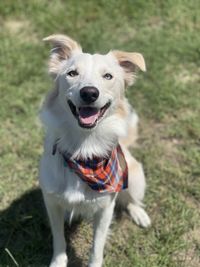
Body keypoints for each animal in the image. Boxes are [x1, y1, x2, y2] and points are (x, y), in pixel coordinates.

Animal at [39, 34, 151, 266]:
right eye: (72, 73)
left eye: (108, 76)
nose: (89, 93)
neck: (83, 150)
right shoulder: (51, 202)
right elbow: (58, 239)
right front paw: (58, 262)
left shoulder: (105, 209)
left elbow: (97, 247)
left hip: (136, 176)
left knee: (132, 199)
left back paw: (140, 214)